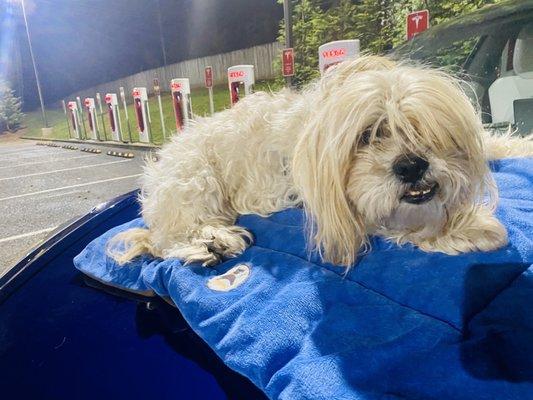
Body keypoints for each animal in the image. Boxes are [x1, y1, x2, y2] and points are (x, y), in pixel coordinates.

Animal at [109, 55, 532, 268]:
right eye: (368, 135)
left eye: (423, 129)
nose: (411, 165)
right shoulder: (337, 202)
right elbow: (393, 218)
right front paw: (464, 228)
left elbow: (495, 142)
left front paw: (520, 144)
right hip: (193, 177)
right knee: (166, 239)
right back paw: (210, 242)